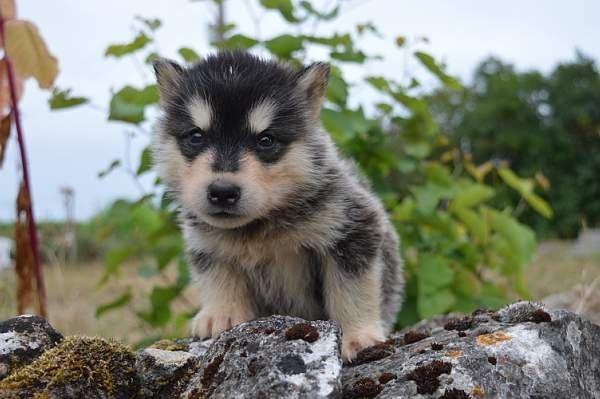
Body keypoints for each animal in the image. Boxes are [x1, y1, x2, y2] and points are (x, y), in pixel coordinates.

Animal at [151, 50, 404, 362]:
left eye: (266, 140)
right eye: (196, 136)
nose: (222, 192)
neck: (259, 229)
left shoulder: (354, 228)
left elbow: (352, 292)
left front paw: (359, 337)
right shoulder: (206, 245)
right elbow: (219, 278)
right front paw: (221, 314)